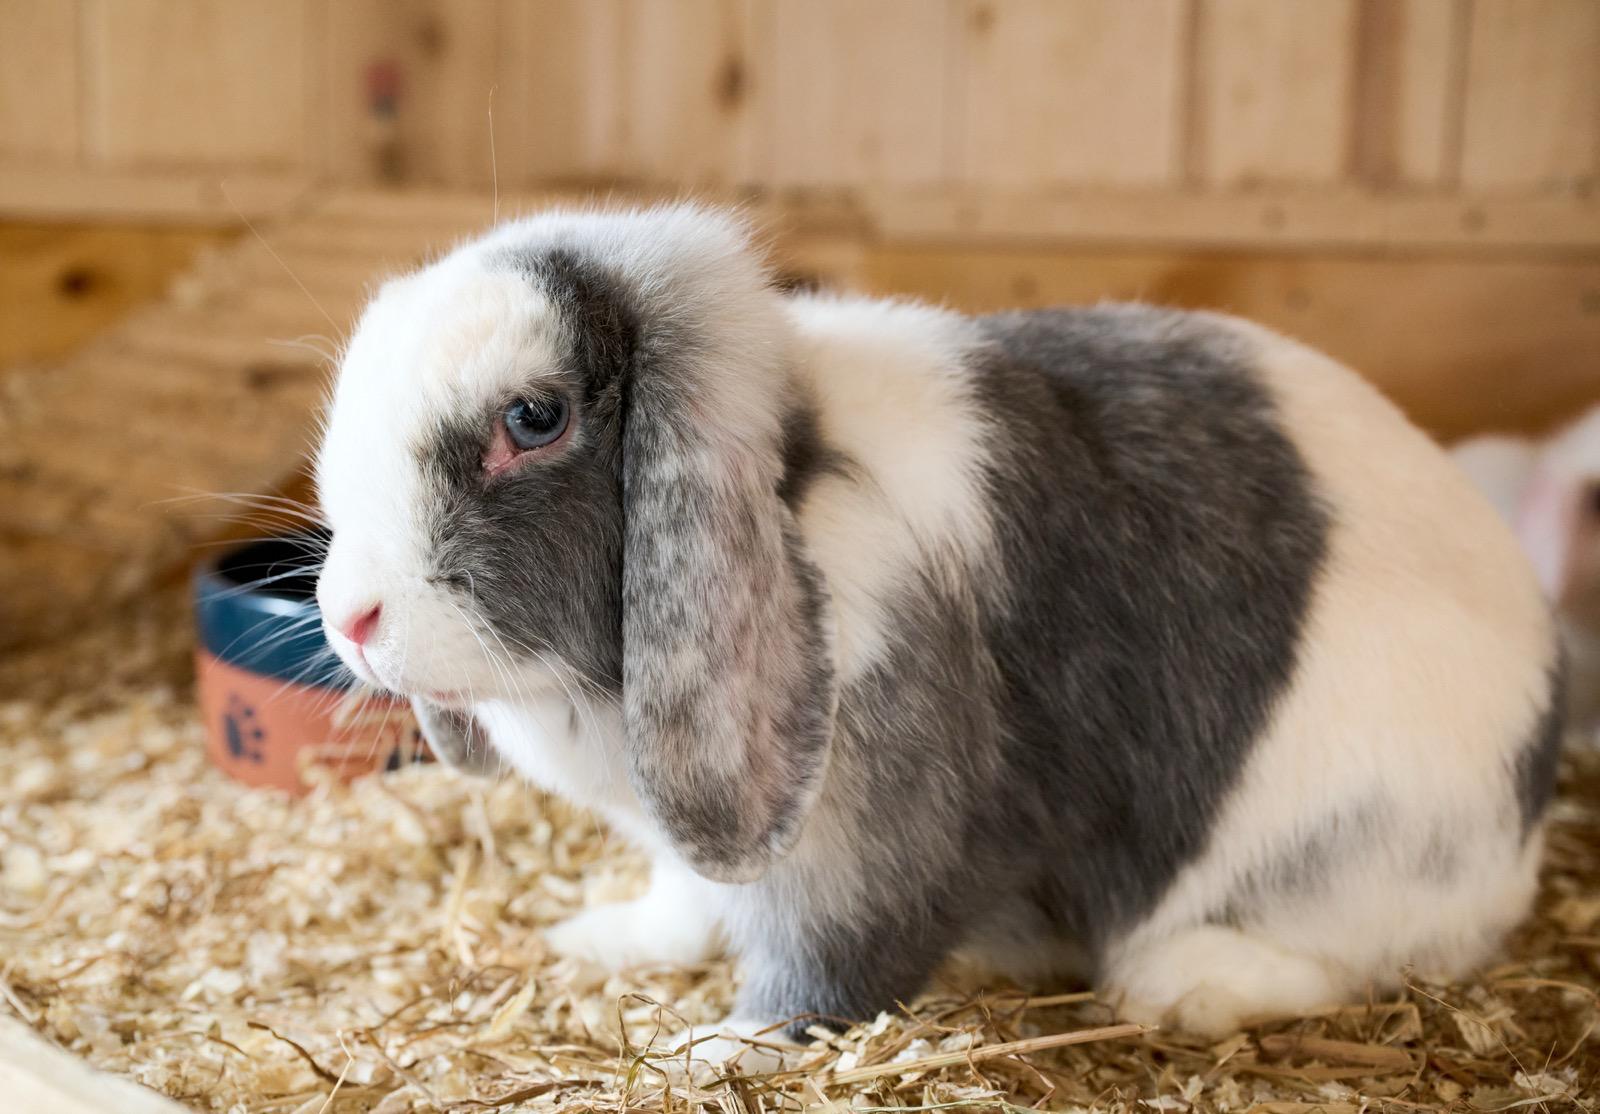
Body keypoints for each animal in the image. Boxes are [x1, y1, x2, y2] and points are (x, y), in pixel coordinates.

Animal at [313, 204, 1562, 1061]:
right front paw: (606, 941)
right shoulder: (700, 836)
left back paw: (1179, 984)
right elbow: (685, 898)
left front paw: (711, 1051)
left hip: (1352, 847)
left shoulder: (864, 845)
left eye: (534, 418)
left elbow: (824, 972)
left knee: (1361, 953)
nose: (347, 615)